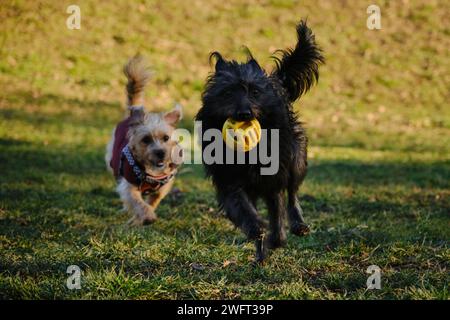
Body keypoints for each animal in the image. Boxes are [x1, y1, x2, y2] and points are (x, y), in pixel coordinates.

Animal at [105, 55, 183, 225]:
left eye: (166, 138)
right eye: (146, 140)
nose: (160, 153)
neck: (152, 173)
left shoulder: (163, 187)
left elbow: (154, 200)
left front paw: (141, 217)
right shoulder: (128, 187)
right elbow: (137, 202)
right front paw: (146, 216)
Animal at [196, 20, 324, 262]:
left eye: (254, 92)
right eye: (228, 93)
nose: (244, 114)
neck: (249, 156)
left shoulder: (274, 180)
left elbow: (278, 213)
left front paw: (276, 239)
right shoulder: (230, 182)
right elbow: (243, 209)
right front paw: (257, 231)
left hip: (297, 160)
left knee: (292, 194)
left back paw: (298, 225)